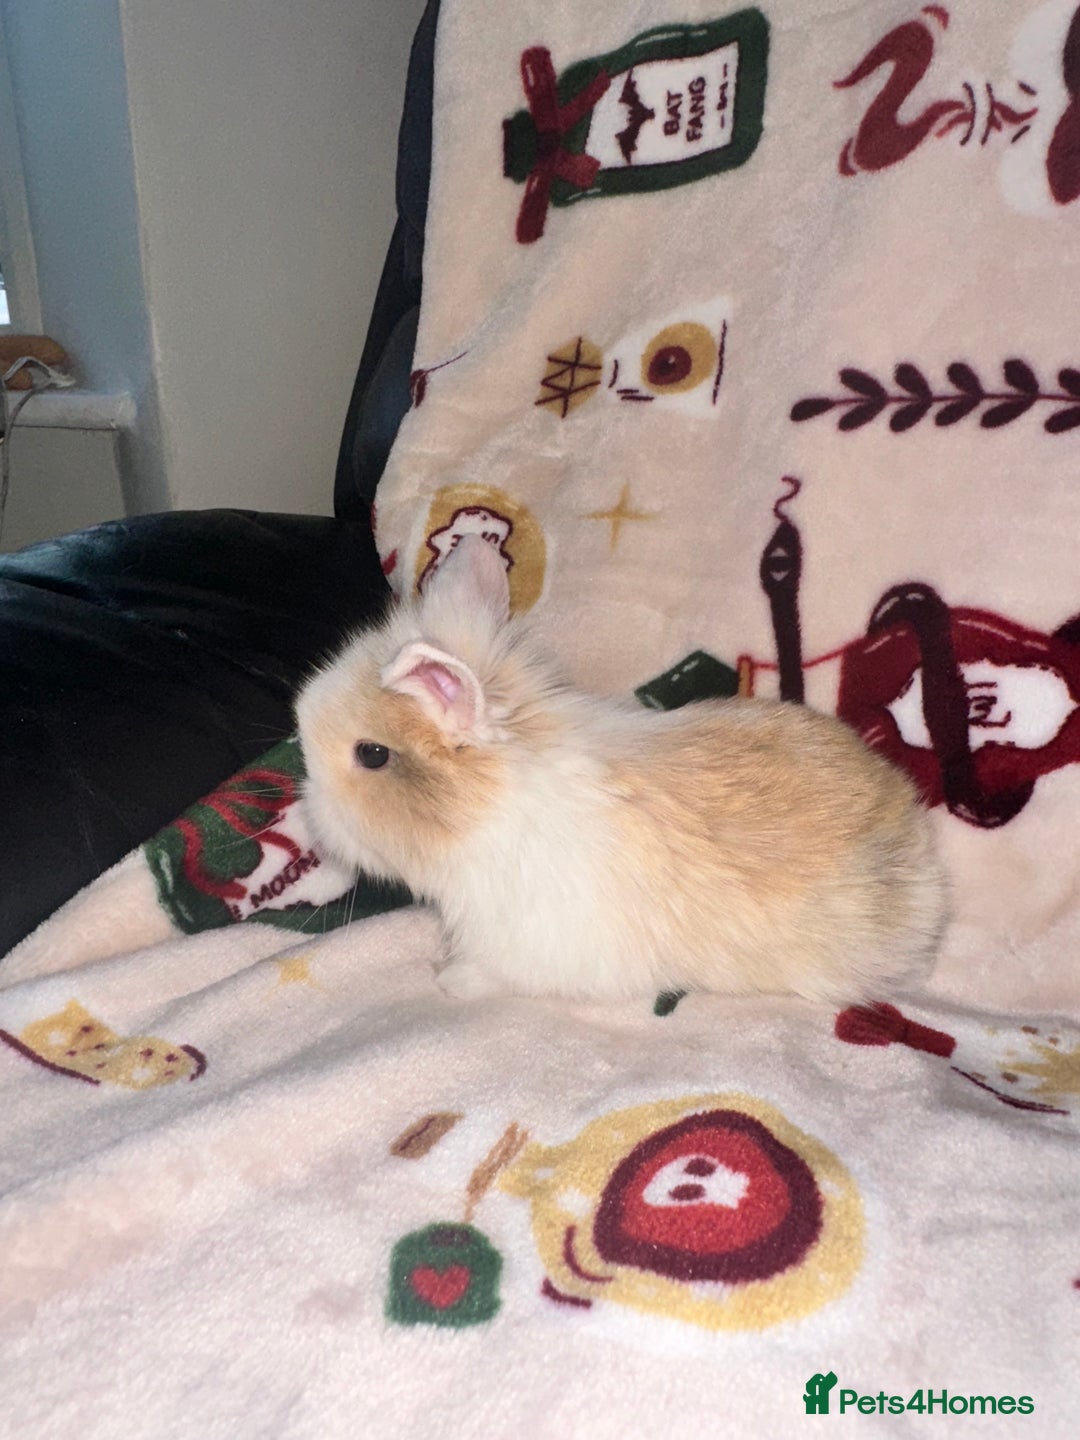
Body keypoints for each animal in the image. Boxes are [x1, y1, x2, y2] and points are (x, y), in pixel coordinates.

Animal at [295, 533, 947, 1005]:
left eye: (371, 754)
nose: (309, 811)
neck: (489, 806)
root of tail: (923, 857)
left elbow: (496, 974)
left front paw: (450, 980)